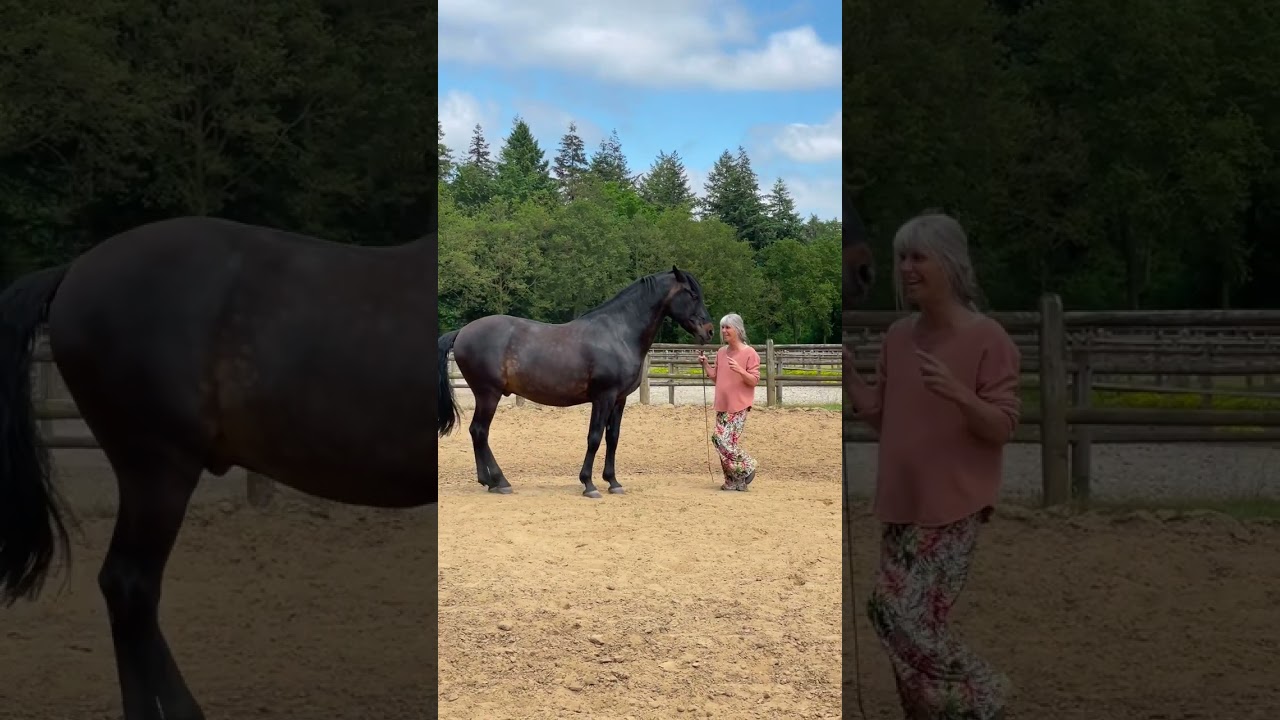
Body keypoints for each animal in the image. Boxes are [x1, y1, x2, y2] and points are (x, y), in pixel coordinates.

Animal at [437, 266, 714, 498]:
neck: (619, 333)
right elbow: (594, 437)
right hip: (488, 395)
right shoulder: (604, 397)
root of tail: (462, 332)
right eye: (692, 294)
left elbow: (613, 438)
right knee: (480, 432)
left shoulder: (619, 399)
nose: (709, 331)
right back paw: (499, 481)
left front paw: (613, 482)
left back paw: (489, 481)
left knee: (477, 433)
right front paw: (589, 484)